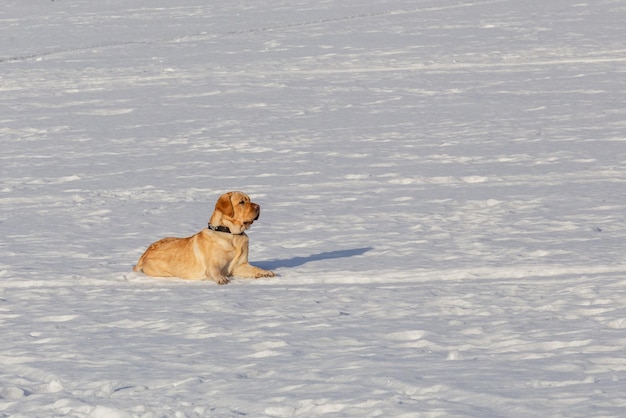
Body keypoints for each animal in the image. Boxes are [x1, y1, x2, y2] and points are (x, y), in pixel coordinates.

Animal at [134, 192, 272, 284]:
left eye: (249, 200)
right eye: (242, 202)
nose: (258, 206)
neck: (231, 235)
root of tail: (145, 253)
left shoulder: (239, 265)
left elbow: (254, 269)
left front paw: (265, 272)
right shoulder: (212, 265)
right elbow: (214, 271)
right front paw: (221, 278)